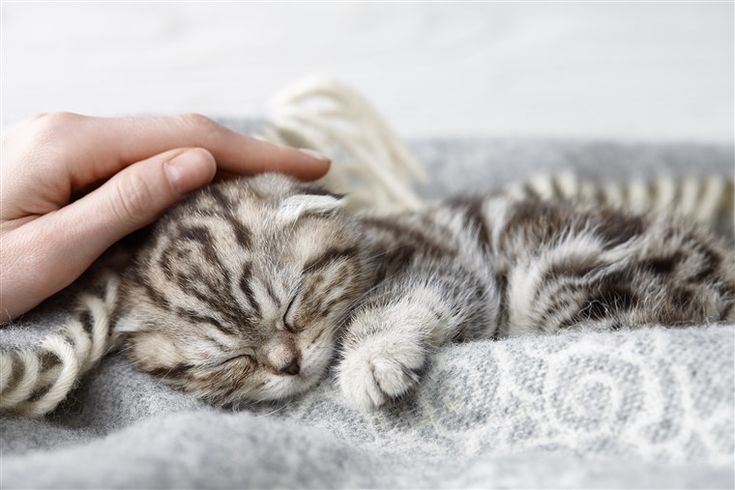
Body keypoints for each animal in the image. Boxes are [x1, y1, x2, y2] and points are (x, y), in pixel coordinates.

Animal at [110, 172, 735, 410]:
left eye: (291, 303)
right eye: (227, 360)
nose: (289, 365)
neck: (372, 243)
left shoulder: (449, 265)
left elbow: (396, 302)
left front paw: (369, 361)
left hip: (567, 276)